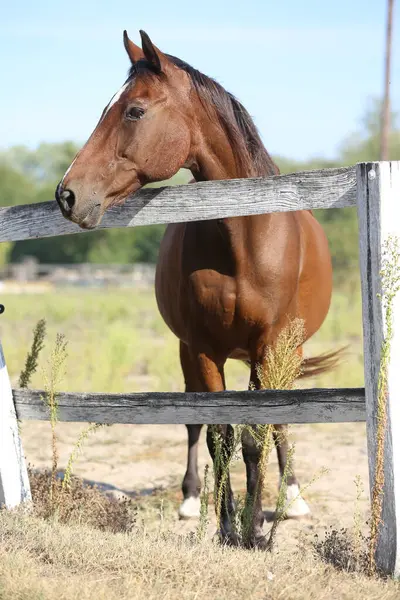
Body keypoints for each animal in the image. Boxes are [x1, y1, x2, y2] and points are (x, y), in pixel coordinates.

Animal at [56, 29, 338, 548]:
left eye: (134, 111)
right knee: (194, 422)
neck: (243, 236)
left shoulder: (269, 348)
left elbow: (255, 435)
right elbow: (219, 436)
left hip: (284, 354)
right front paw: (228, 527)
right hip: (190, 352)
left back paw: (291, 497)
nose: (67, 195)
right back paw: (191, 500)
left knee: (282, 420)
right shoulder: (204, 348)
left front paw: (256, 528)